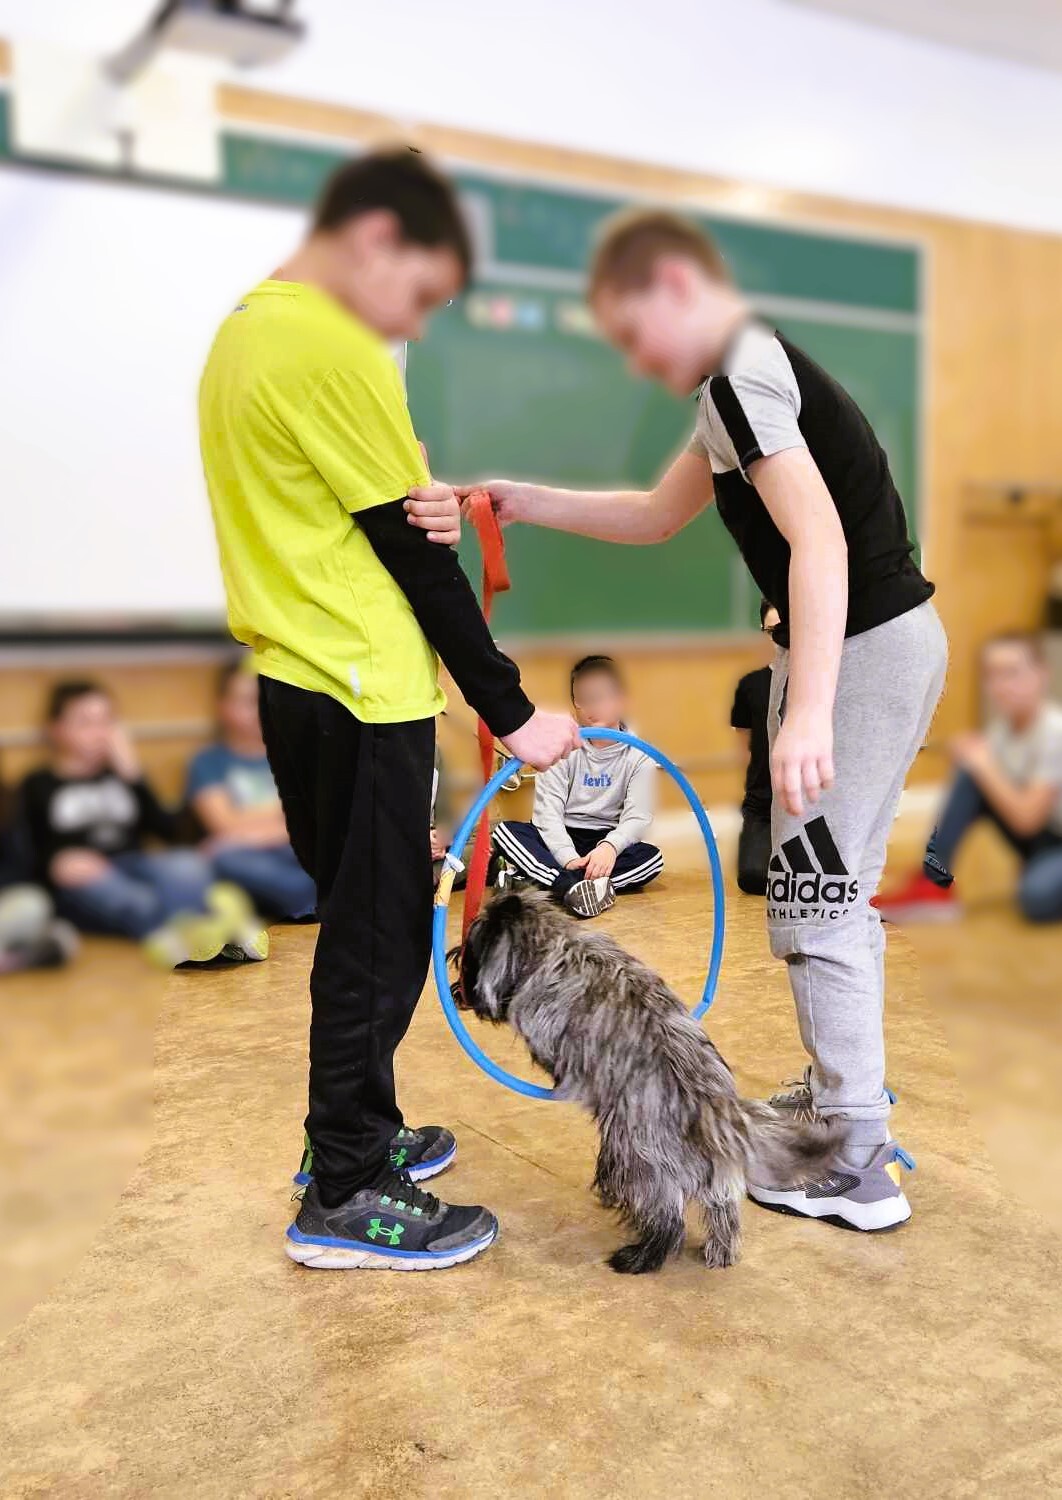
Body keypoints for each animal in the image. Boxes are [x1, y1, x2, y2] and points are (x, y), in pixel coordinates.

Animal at [456, 888, 840, 1278]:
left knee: (668, 1217)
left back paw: (639, 1257)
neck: (551, 944)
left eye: (471, 955)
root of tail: (711, 1108)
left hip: (637, 1160)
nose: (457, 990)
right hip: (708, 1175)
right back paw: (720, 1251)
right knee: (721, 1208)